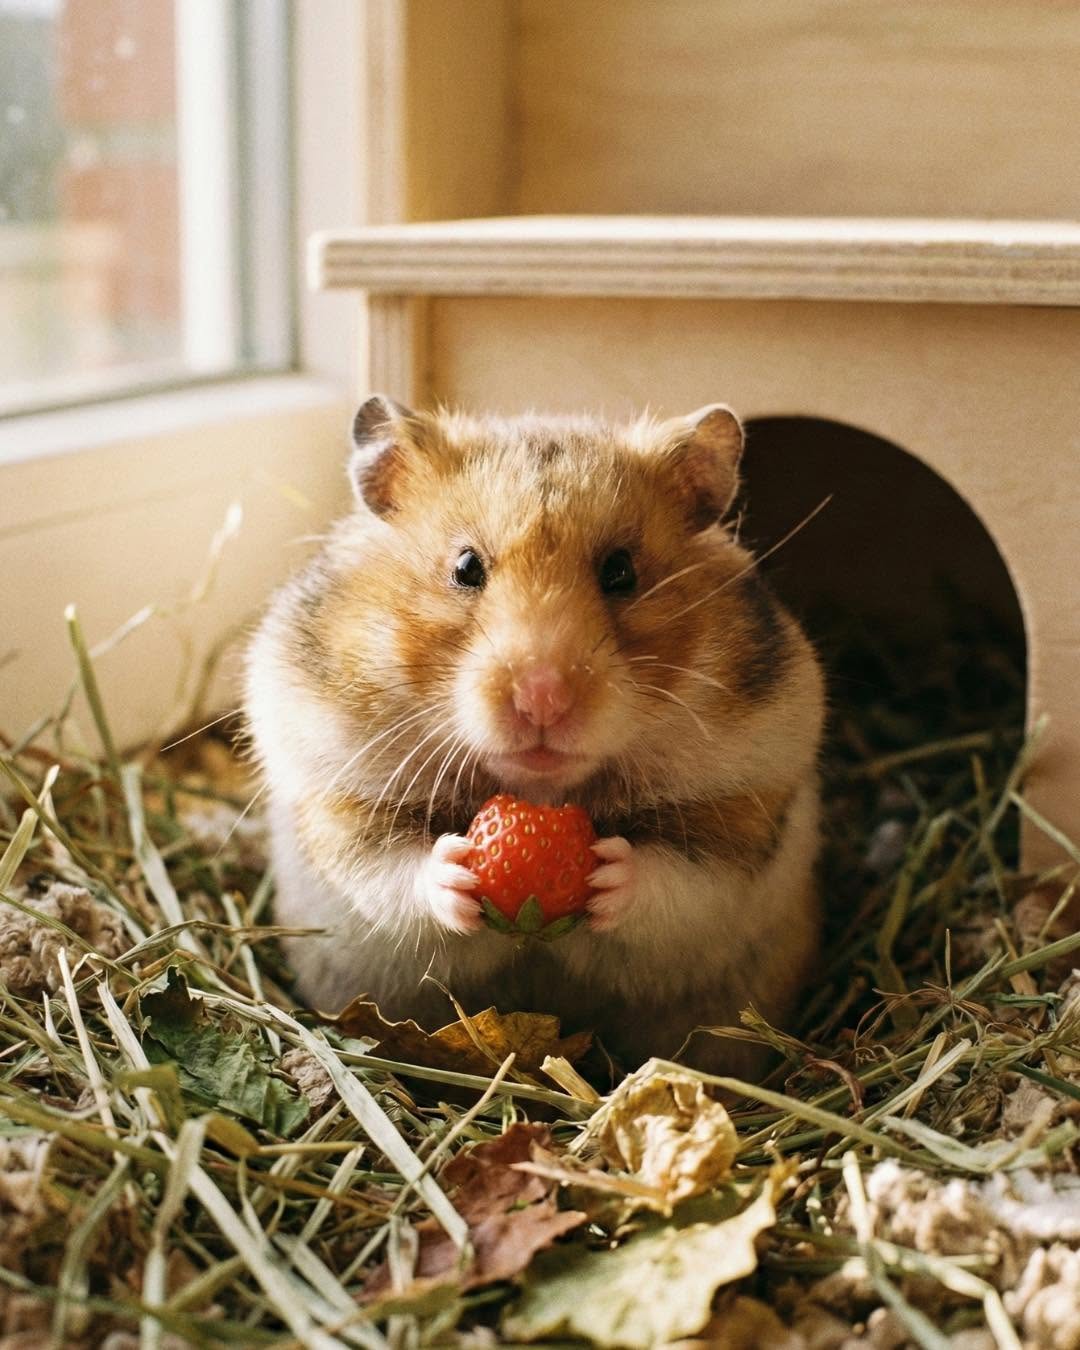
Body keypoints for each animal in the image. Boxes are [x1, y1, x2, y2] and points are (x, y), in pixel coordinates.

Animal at [245, 396, 825, 1076]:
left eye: (620, 571)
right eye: (466, 567)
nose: (542, 697)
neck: (541, 793)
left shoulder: (741, 814)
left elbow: (678, 880)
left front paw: (607, 871)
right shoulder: (337, 796)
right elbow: (389, 868)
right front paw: (458, 868)